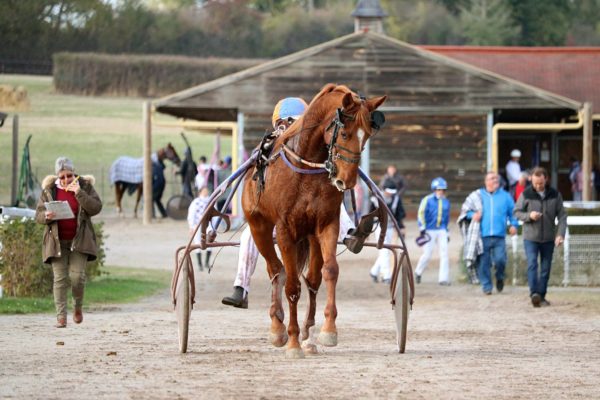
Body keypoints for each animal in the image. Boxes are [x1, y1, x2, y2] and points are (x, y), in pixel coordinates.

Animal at [241, 84, 386, 360]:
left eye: (366, 136)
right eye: (345, 133)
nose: (347, 181)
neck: (305, 167)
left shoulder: (326, 223)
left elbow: (329, 272)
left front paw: (327, 331)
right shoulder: (284, 230)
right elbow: (292, 286)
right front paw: (292, 341)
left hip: (310, 236)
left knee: (313, 278)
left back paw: (308, 333)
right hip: (259, 227)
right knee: (276, 271)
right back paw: (278, 328)